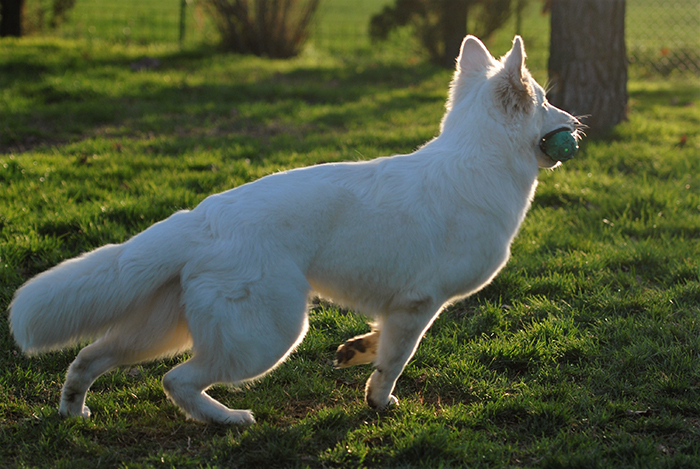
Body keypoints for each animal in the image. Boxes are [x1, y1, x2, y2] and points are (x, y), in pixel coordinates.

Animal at [9, 36, 580, 424]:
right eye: (546, 101)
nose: (578, 123)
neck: (478, 162)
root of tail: (201, 218)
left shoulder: (397, 308)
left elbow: (379, 343)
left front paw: (356, 350)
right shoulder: (420, 305)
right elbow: (397, 359)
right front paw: (380, 401)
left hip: (161, 330)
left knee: (90, 356)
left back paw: (73, 411)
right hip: (268, 336)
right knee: (176, 380)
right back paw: (228, 420)